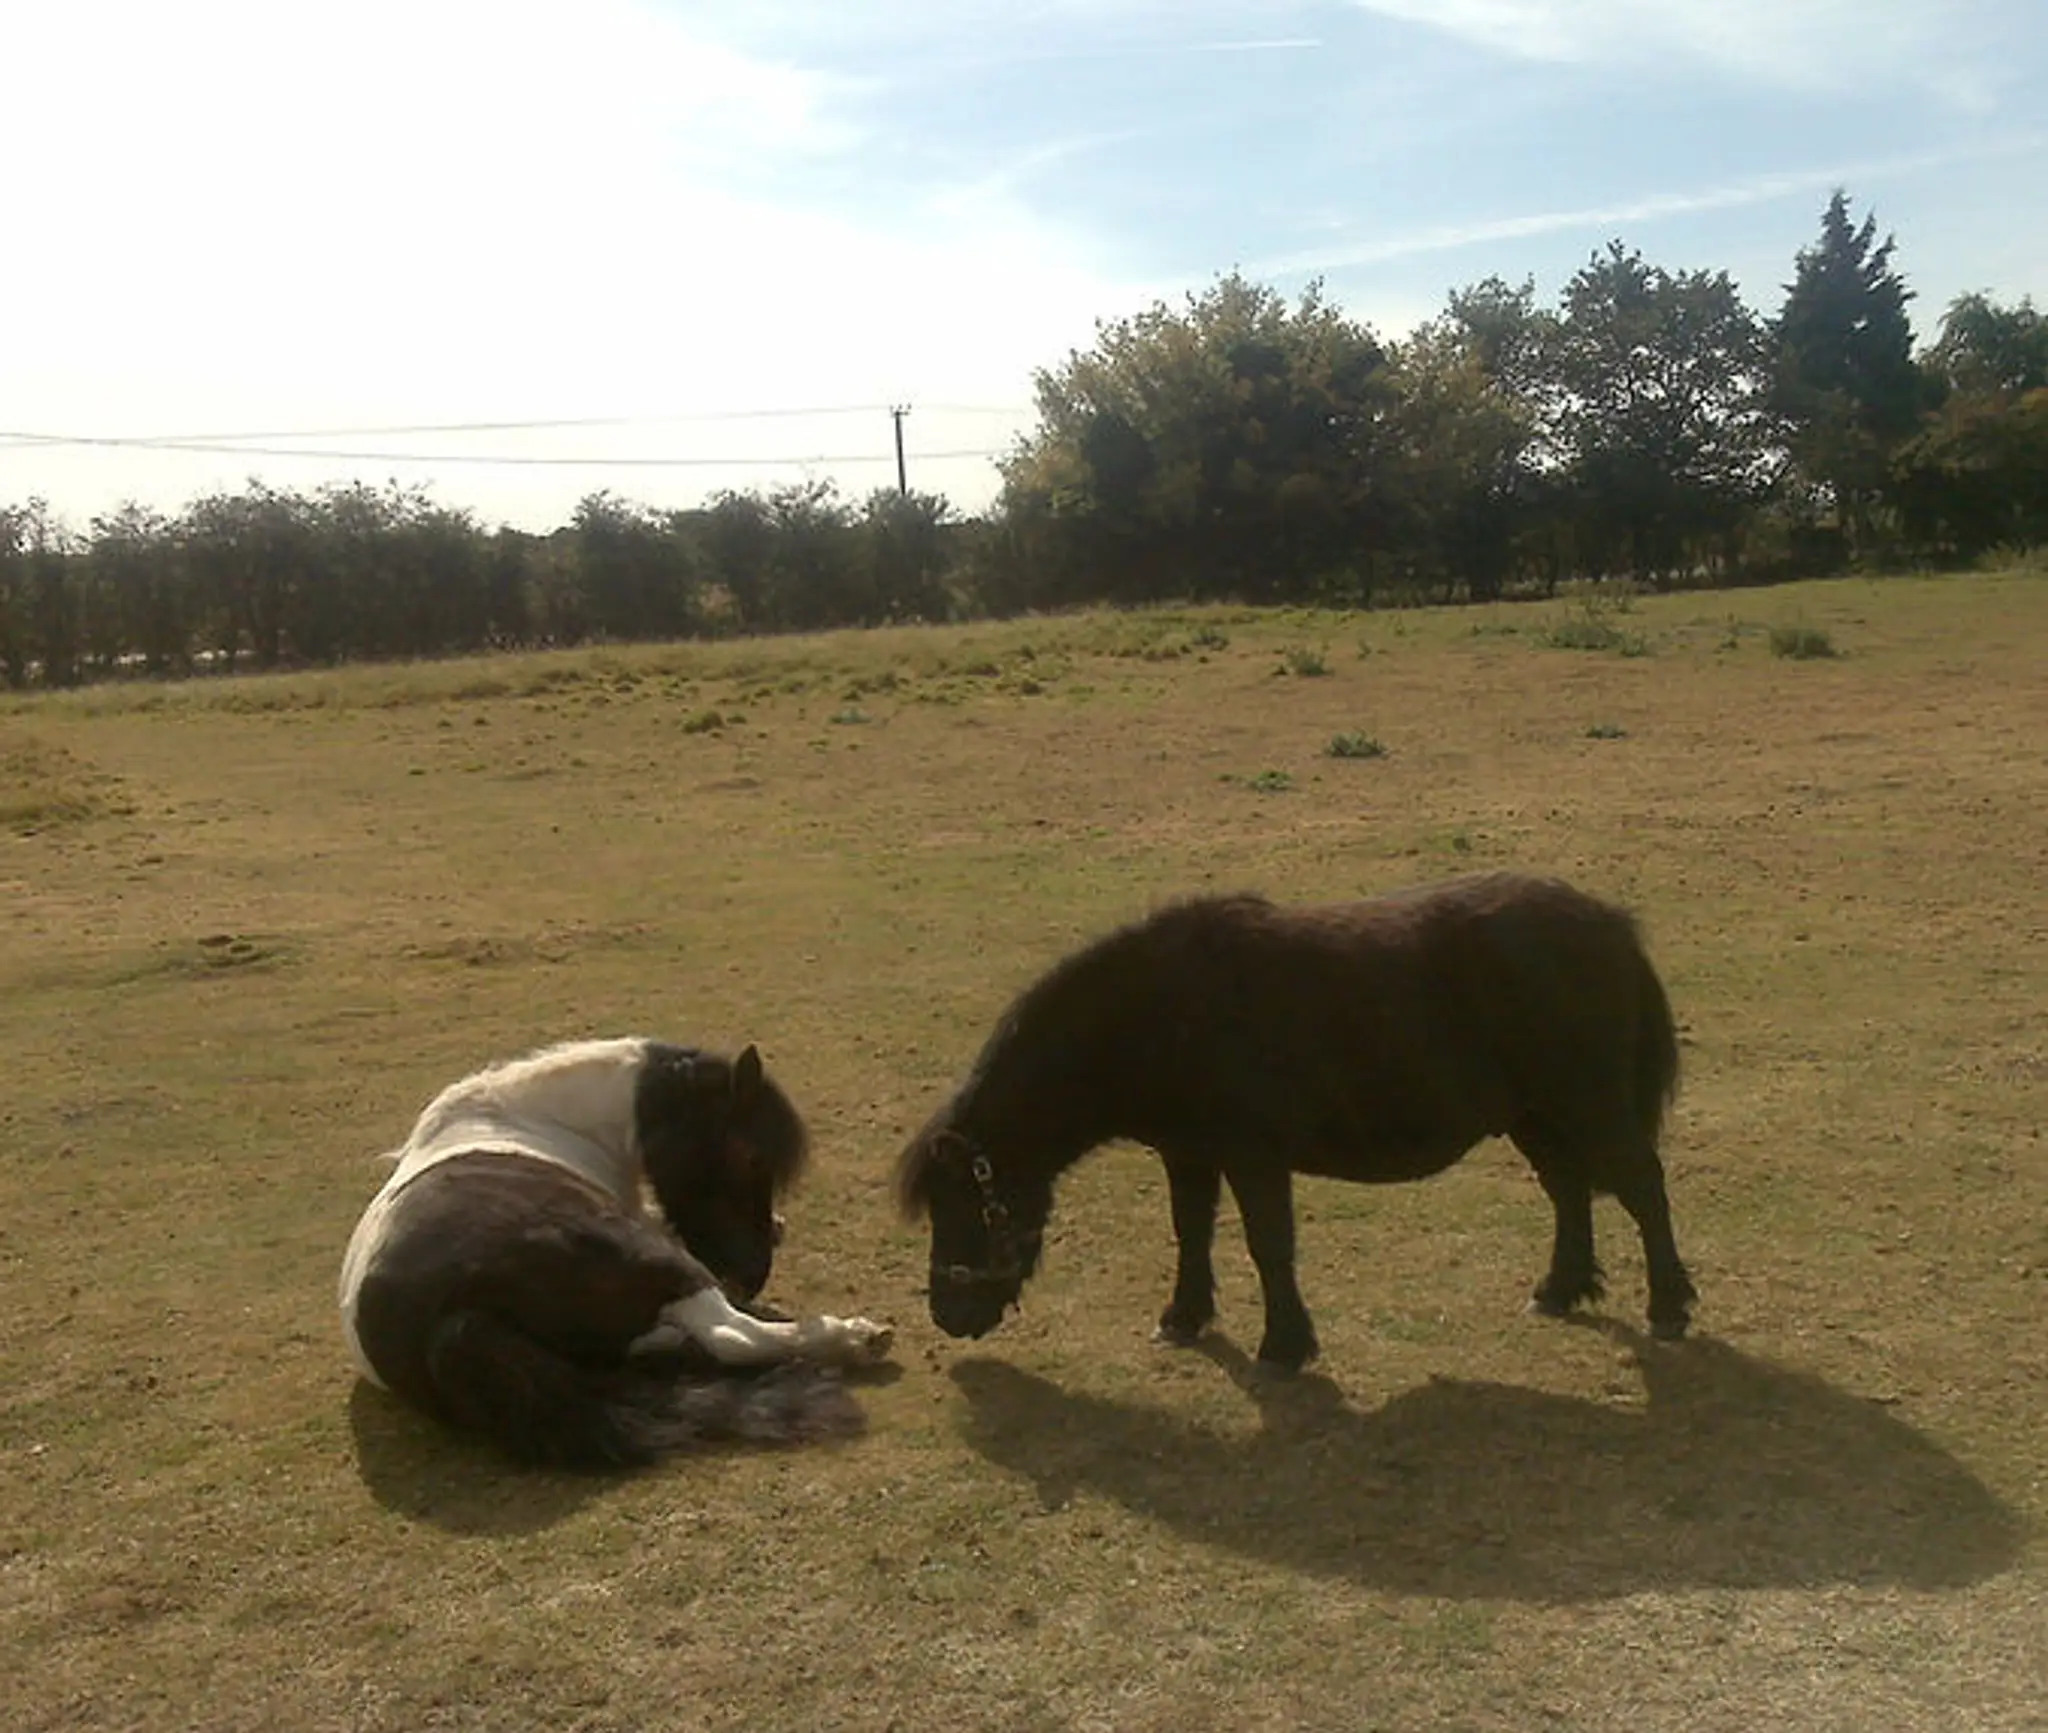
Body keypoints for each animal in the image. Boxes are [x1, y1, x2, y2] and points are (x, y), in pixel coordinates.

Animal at [340, 1036, 894, 1468]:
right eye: (748, 1156)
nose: (750, 1275)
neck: (543, 1120)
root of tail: (445, 1323)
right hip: (655, 1258)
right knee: (730, 1336)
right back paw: (854, 1337)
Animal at [896, 872, 1696, 1371]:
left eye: (965, 1203)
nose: (946, 1314)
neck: (1161, 1014)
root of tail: (1608, 924)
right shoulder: (1189, 1154)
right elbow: (1192, 1234)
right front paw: (1183, 1317)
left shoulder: (1253, 1156)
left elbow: (1268, 1245)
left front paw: (1283, 1346)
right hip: (1535, 1115)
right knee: (1568, 1191)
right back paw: (1559, 1290)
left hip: (1587, 1103)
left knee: (1643, 1188)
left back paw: (1668, 1305)